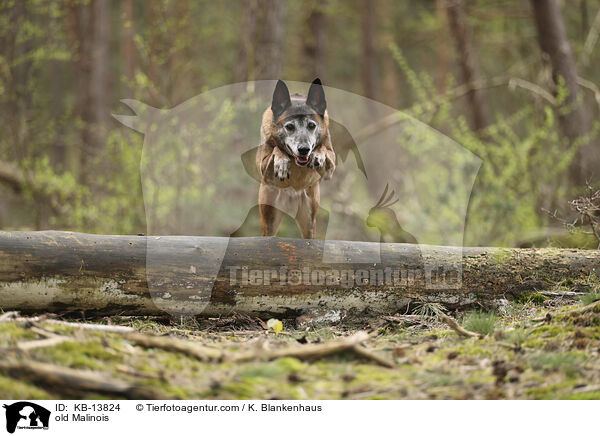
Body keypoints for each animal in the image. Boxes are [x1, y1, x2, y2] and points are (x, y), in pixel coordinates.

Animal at [255, 80, 336, 240]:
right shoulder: (263, 164)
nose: (304, 149)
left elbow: (323, 147)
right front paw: (282, 163)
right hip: (269, 216)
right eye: (289, 126)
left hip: (309, 217)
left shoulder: (331, 162)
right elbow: (277, 148)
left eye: (311, 125)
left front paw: (317, 155)